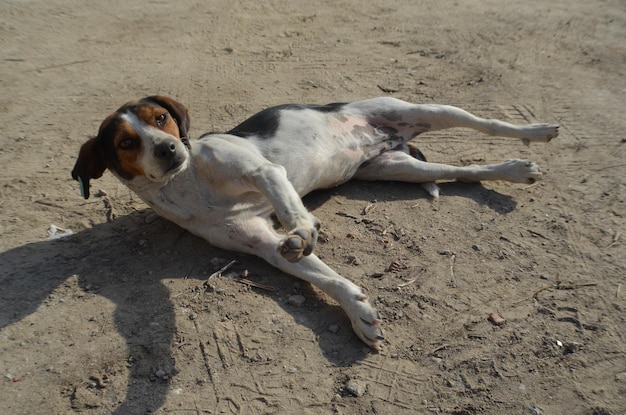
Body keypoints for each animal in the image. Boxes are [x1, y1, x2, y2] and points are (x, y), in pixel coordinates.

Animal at [72, 96, 556, 350]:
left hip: (424, 110)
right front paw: (358, 312)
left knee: (487, 123)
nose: (169, 149)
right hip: (397, 169)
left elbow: (294, 216)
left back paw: (537, 131)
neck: (188, 183)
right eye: (126, 143)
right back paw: (515, 170)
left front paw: (305, 231)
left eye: (161, 119)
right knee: (466, 171)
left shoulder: (266, 173)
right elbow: (323, 276)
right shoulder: (263, 245)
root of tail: (385, 137)